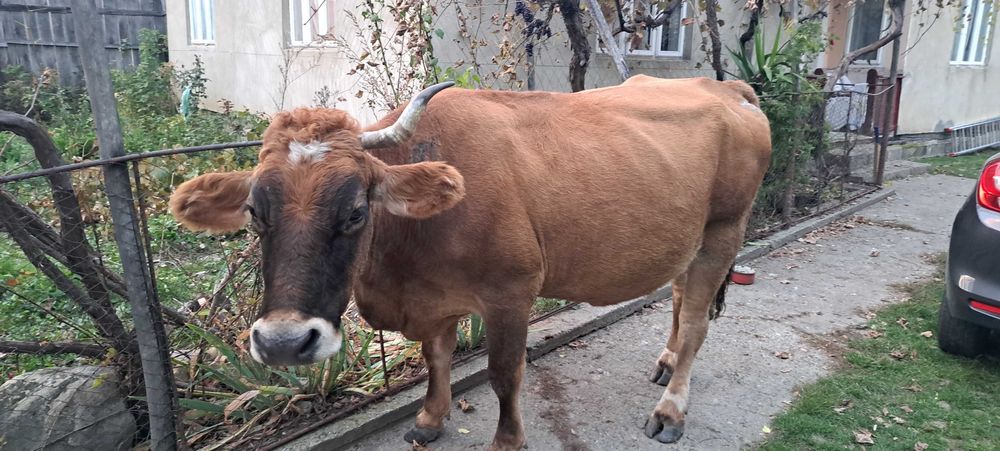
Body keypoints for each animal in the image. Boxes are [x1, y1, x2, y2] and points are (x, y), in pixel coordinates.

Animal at [168, 75, 772, 449]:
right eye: (254, 213)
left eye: (356, 212)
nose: (283, 343)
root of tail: (726, 86)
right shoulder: (434, 300)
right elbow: (436, 360)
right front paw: (429, 420)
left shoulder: (512, 292)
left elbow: (505, 373)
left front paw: (507, 439)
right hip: (688, 239)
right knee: (679, 301)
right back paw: (666, 363)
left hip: (725, 230)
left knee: (696, 323)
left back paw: (671, 410)